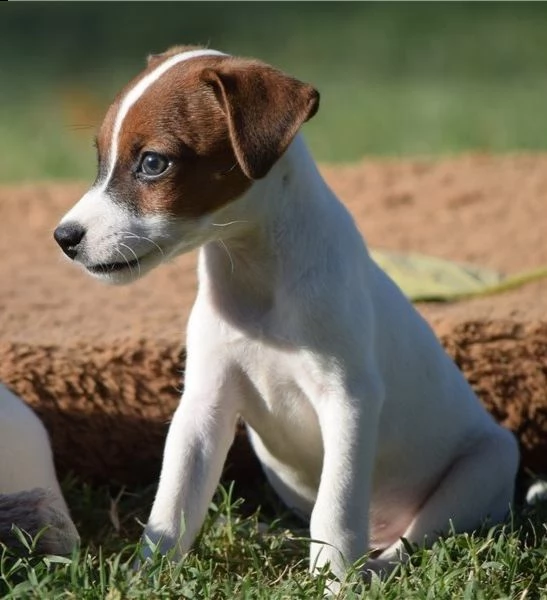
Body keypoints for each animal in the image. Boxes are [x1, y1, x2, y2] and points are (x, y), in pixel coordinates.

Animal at [53, 45, 520, 580]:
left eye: (153, 163)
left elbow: (335, 511)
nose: (64, 238)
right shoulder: (203, 407)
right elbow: (172, 507)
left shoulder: (349, 401)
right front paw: (147, 575)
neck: (258, 278)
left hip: (483, 467)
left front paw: (334, 582)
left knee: (411, 541)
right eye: (100, 157)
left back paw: (372, 569)